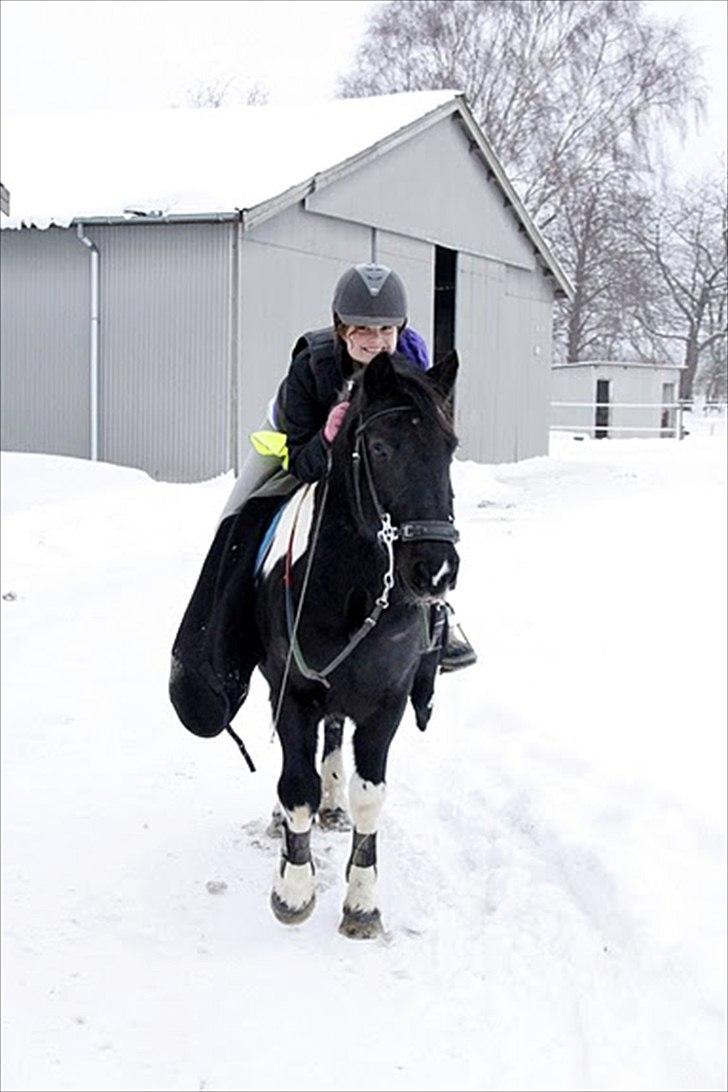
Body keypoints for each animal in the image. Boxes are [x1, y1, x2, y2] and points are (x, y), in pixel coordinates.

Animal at [254, 349, 460, 938]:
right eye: (381, 447)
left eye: (451, 448)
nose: (436, 570)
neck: (349, 589)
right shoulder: (293, 691)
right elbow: (295, 785)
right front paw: (293, 890)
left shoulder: (387, 701)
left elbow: (370, 798)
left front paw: (362, 902)